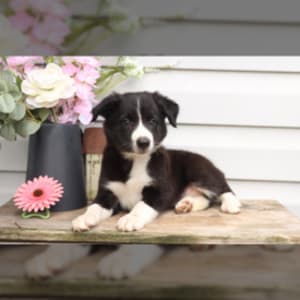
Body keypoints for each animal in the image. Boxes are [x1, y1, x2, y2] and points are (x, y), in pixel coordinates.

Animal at [71, 91, 240, 232]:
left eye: (152, 121)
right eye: (125, 121)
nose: (143, 142)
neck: (134, 161)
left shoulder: (160, 190)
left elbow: (141, 205)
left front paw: (130, 219)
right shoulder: (107, 192)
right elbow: (94, 206)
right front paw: (83, 218)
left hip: (199, 170)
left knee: (223, 188)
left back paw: (231, 204)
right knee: (206, 199)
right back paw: (187, 204)